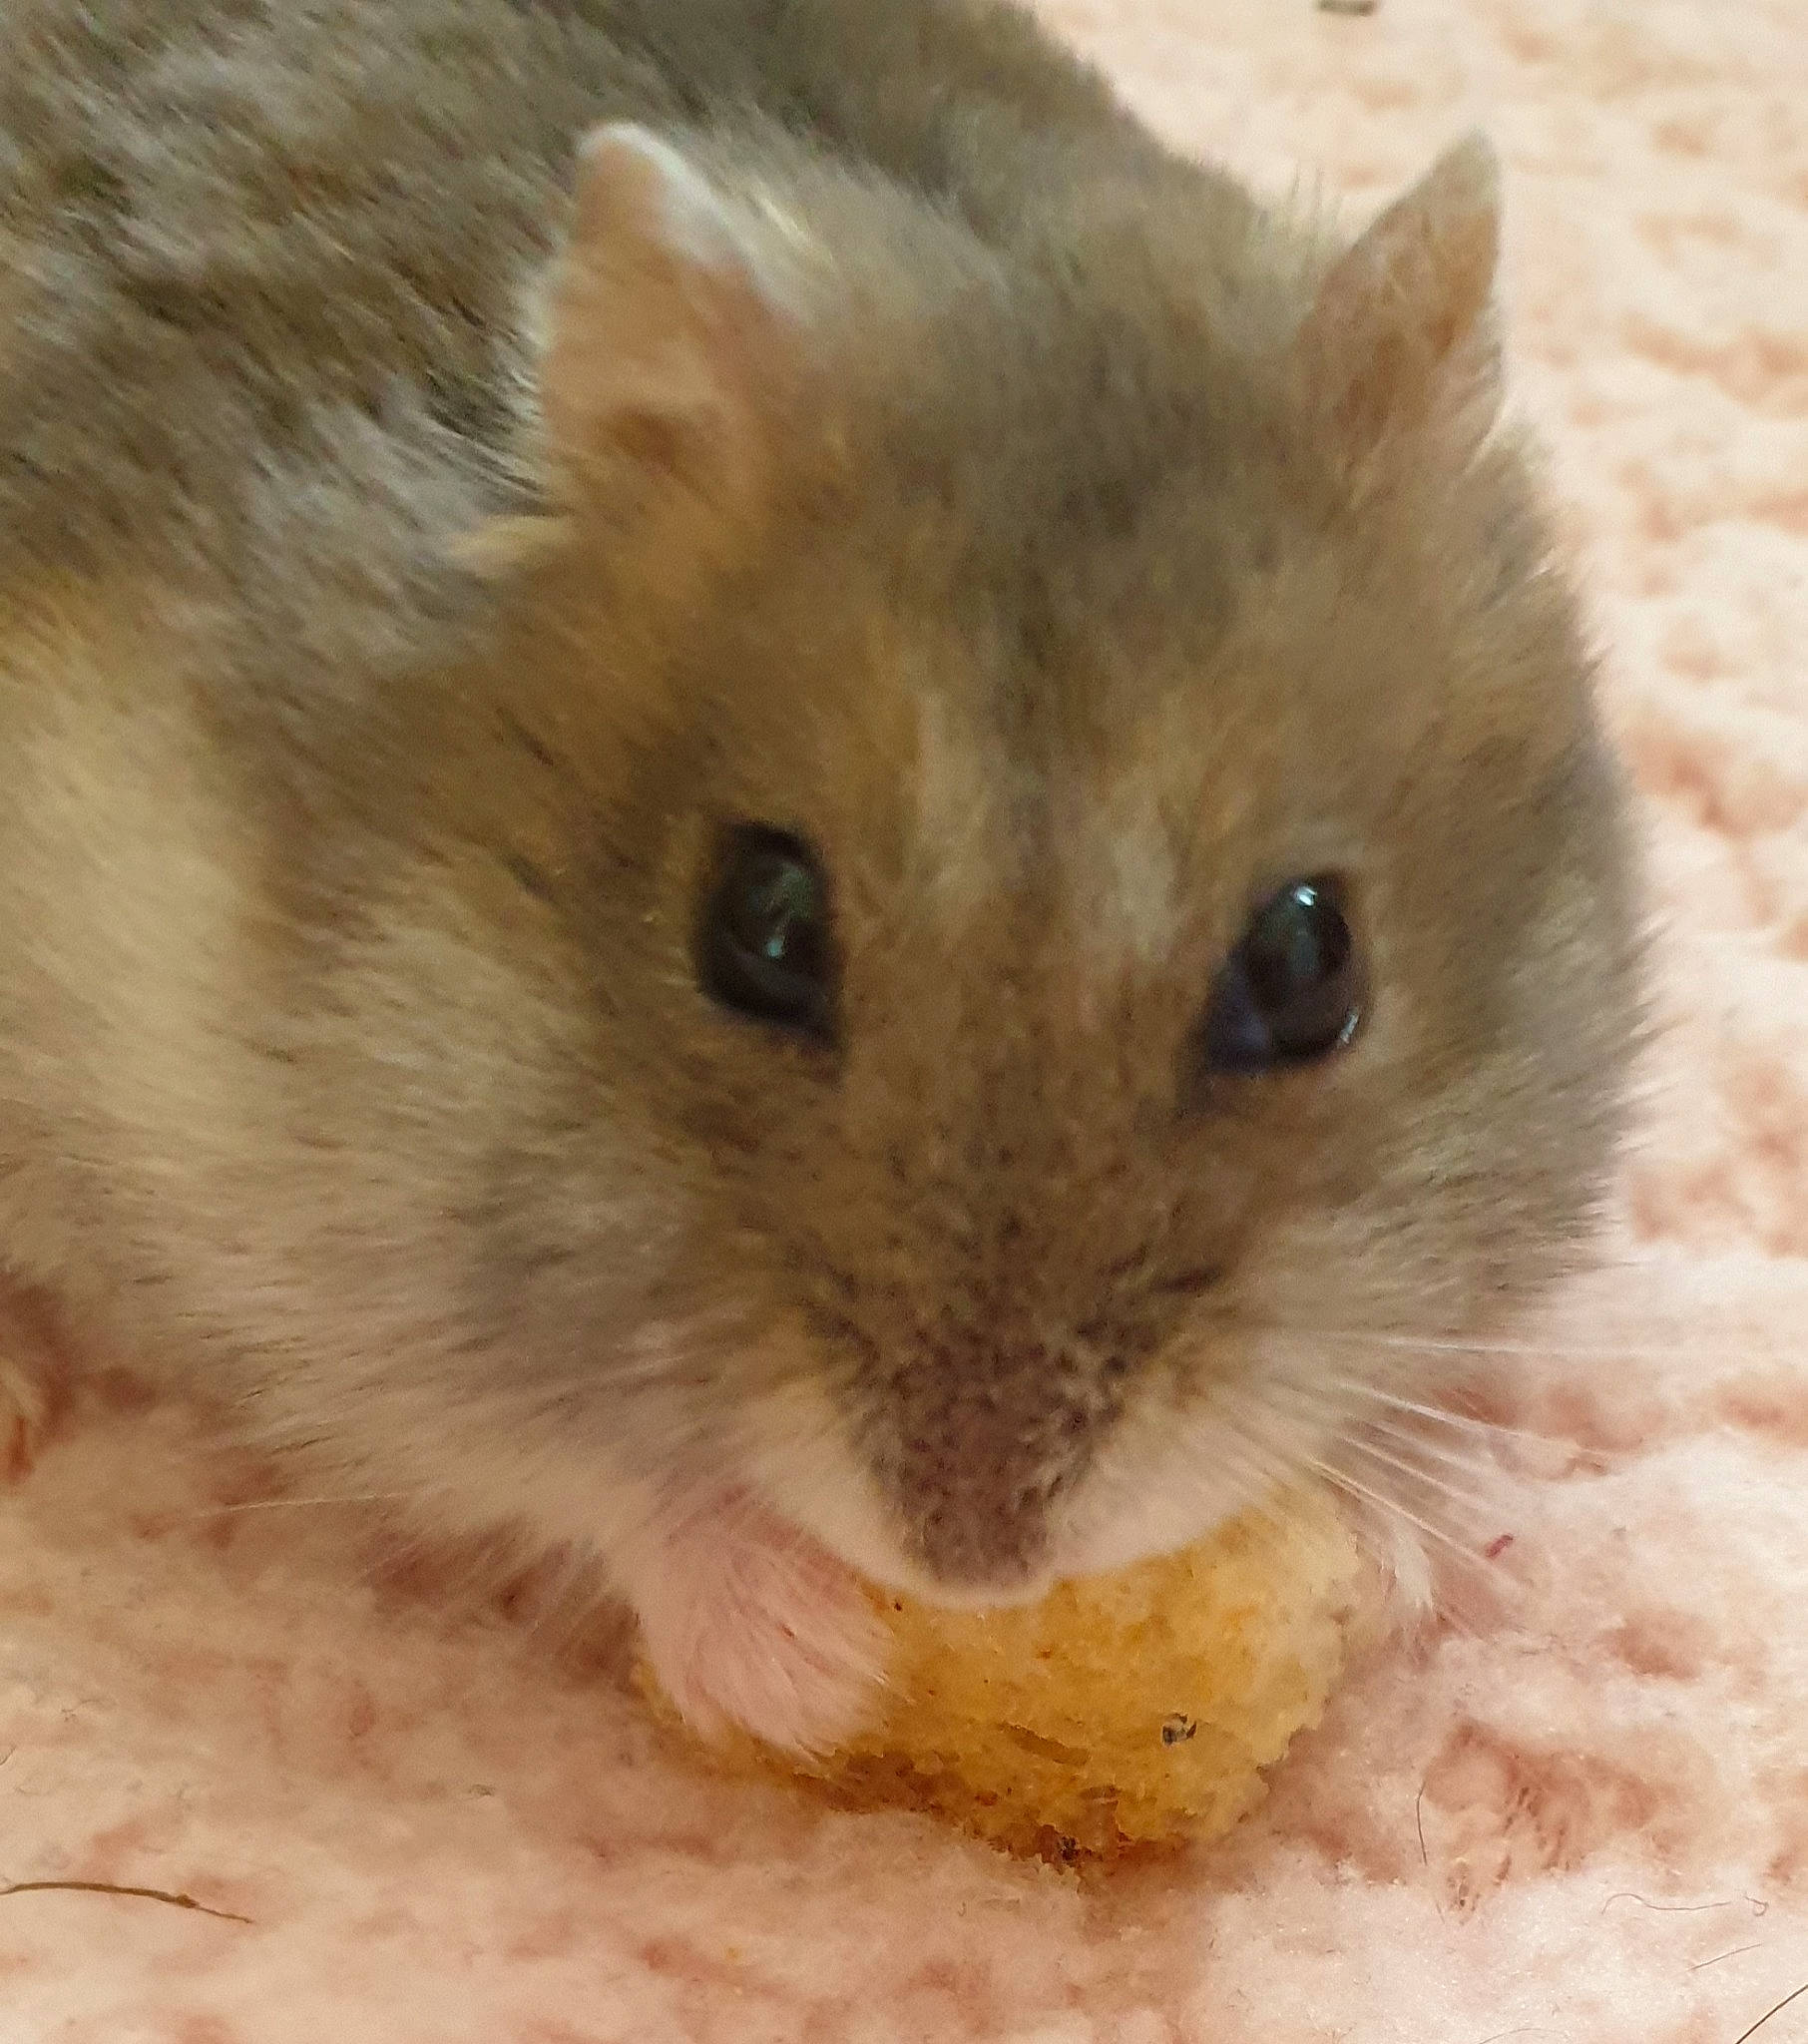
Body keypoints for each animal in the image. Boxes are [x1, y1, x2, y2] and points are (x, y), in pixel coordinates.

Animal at [0, 0, 1641, 1751]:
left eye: (1309, 964)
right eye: (761, 925)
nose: (974, 1560)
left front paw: (1416, 1541)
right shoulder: (284, 1220)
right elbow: (543, 1451)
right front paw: (811, 1665)